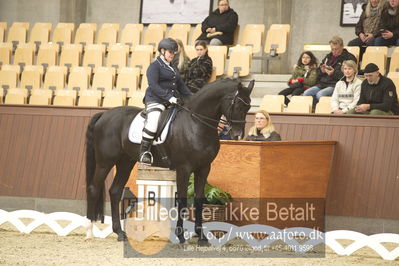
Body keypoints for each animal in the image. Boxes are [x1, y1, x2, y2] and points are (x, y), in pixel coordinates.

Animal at [85, 78, 255, 244]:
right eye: (237, 104)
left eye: (248, 106)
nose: (237, 135)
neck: (196, 124)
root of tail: (104, 114)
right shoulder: (184, 169)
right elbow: (182, 201)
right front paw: (180, 236)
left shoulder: (204, 168)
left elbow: (199, 201)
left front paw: (201, 237)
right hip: (105, 163)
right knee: (94, 189)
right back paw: (89, 232)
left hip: (125, 163)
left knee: (115, 191)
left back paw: (120, 233)